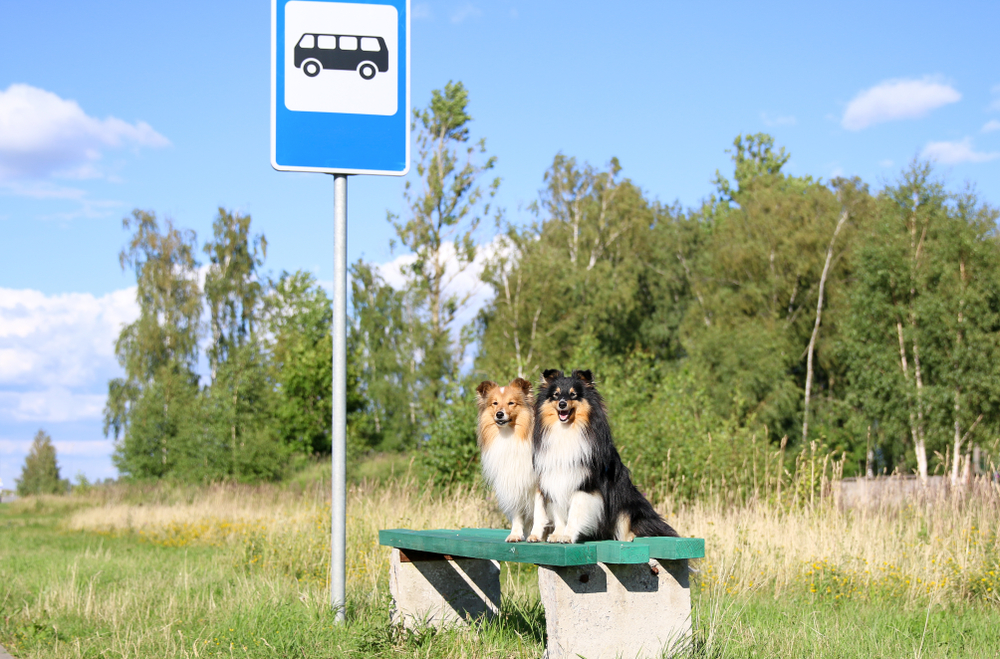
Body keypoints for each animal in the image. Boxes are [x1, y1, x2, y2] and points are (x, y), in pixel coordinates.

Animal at [474, 378, 548, 544]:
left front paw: (535, 535)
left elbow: (538, 512)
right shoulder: (511, 480)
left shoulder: (538, 483)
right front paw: (515, 534)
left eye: (511, 403)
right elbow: (517, 513)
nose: (499, 414)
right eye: (494, 403)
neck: (509, 435)